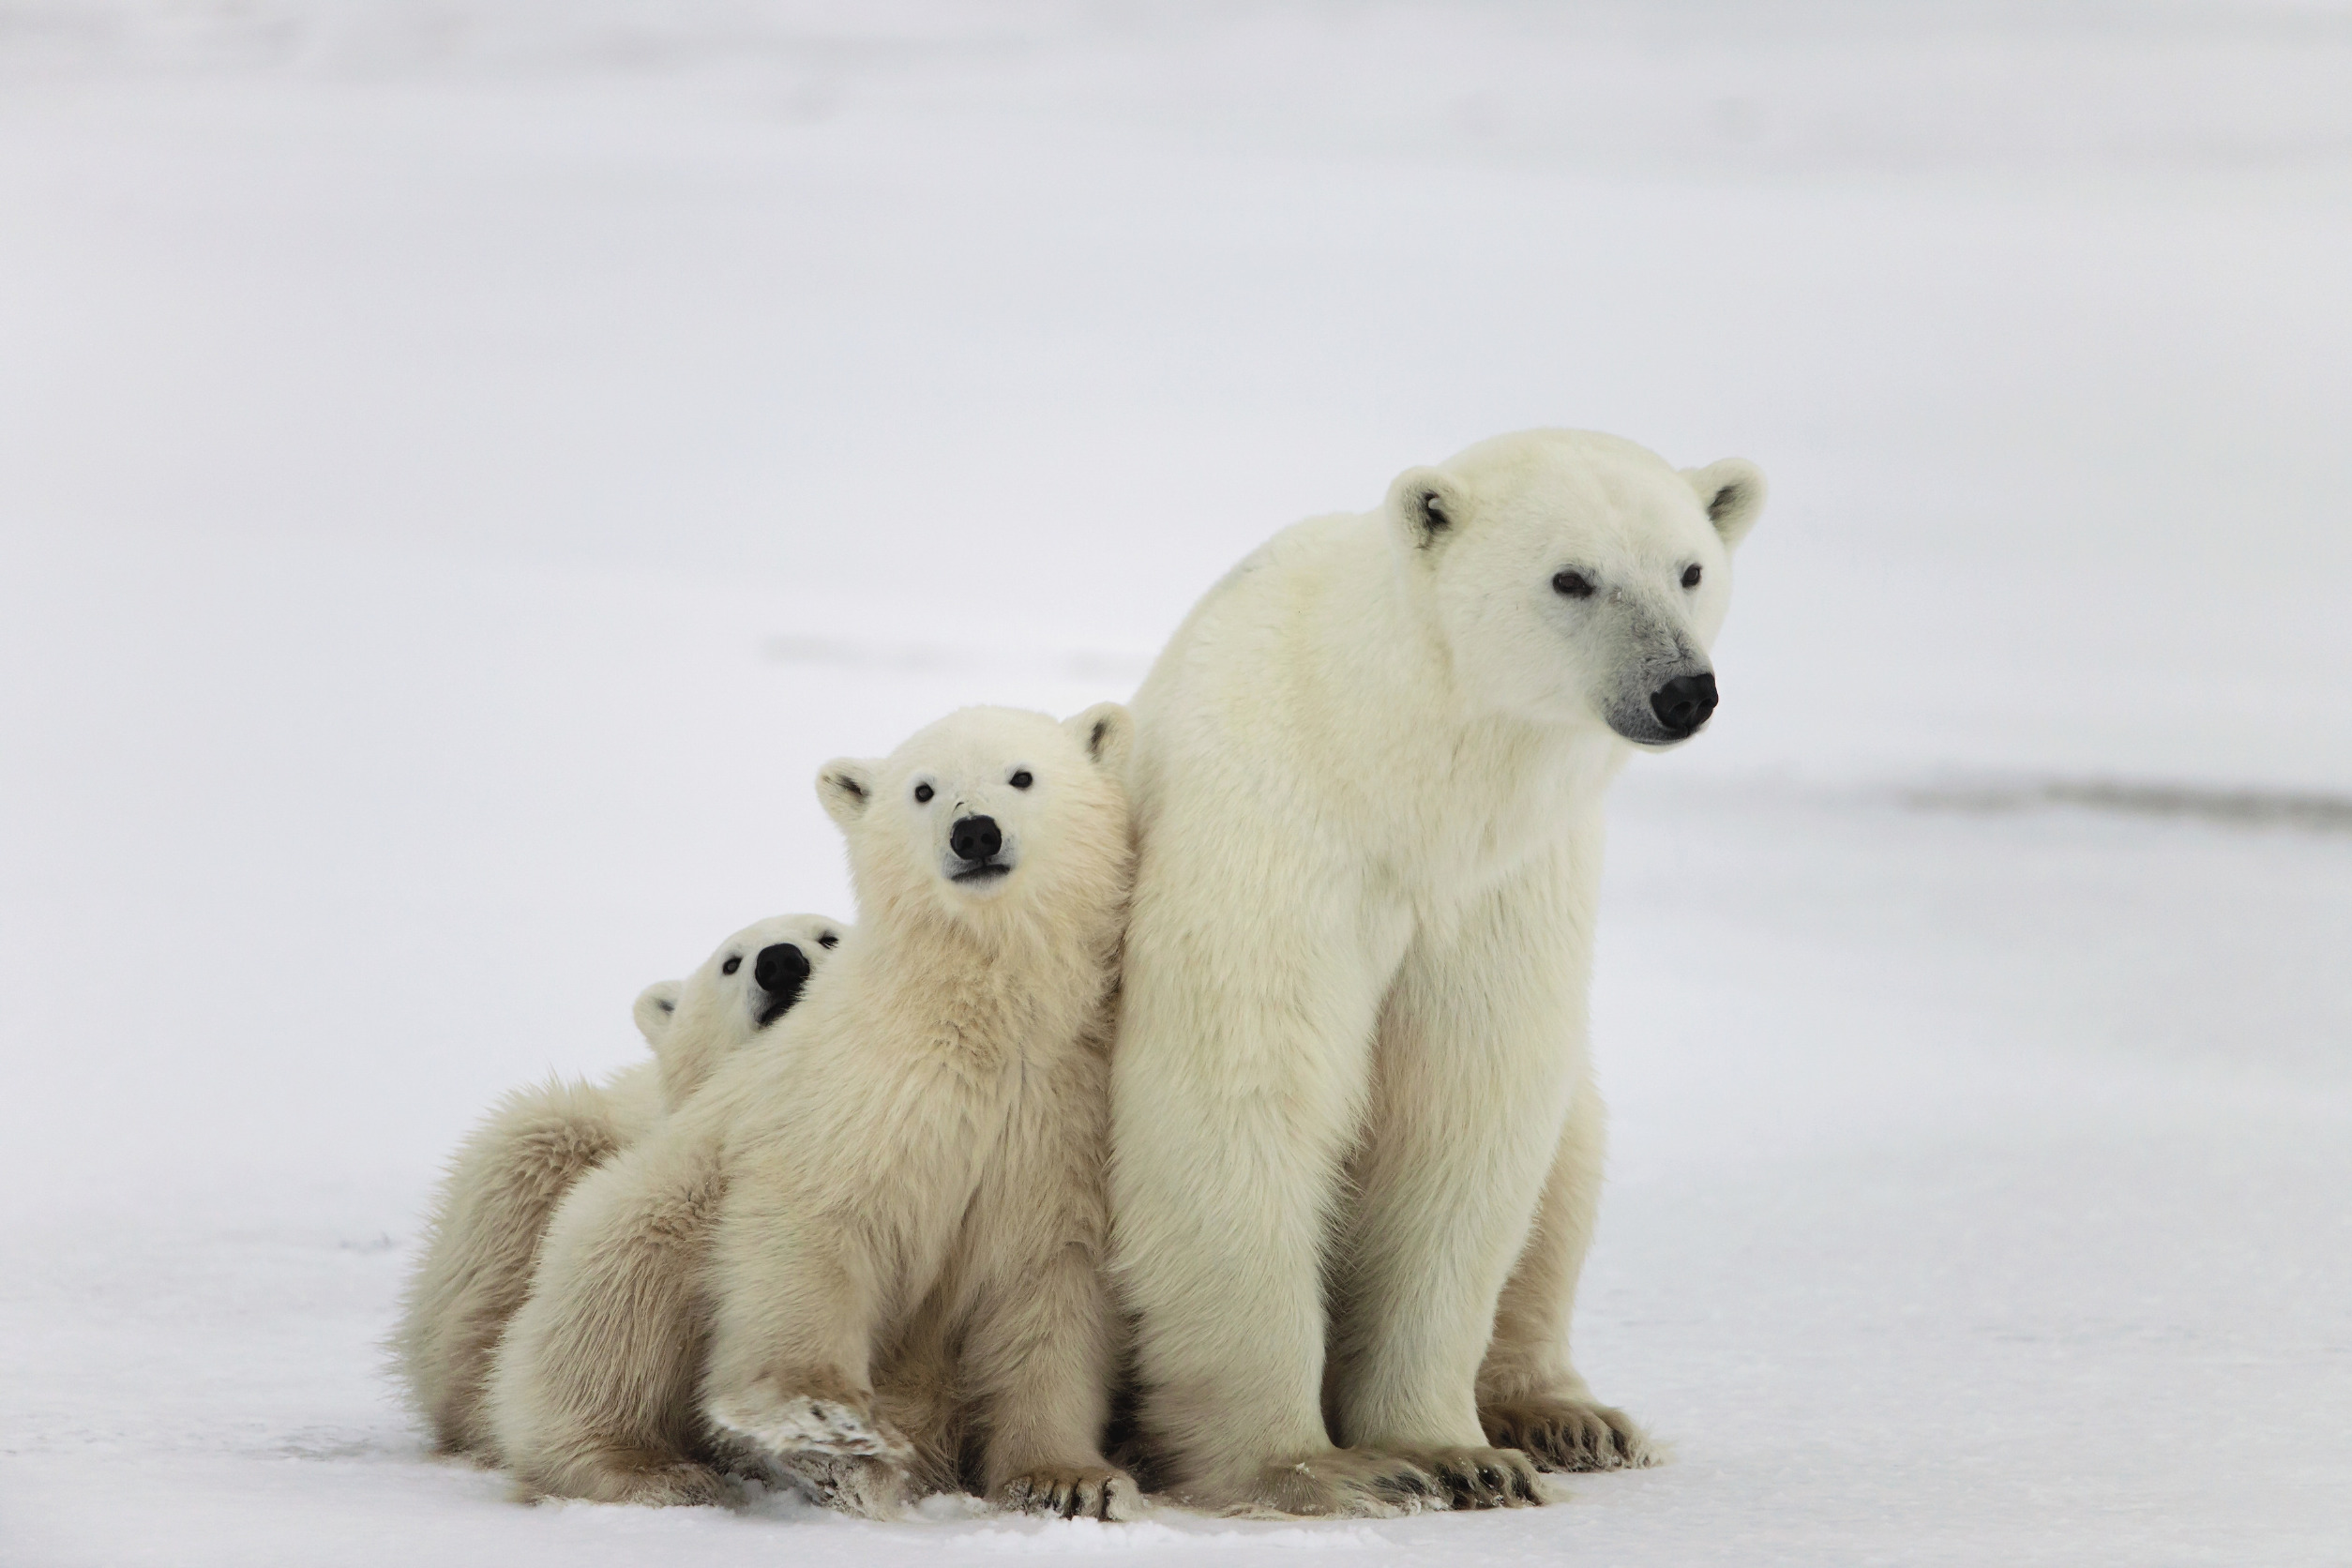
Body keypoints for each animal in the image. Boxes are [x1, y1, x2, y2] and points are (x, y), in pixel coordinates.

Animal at [1109, 432, 1758, 1523]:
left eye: (1690, 569)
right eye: (1571, 577)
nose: (1682, 691)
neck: (1396, 773)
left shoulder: (1502, 887)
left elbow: (1464, 1114)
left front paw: (1456, 1455)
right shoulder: (1272, 837)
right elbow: (1240, 1094)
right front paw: (1314, 1469)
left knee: (1569, 1159)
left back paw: (1569, 1416)